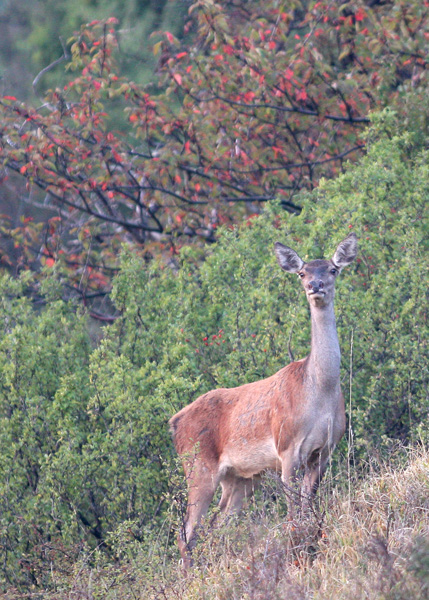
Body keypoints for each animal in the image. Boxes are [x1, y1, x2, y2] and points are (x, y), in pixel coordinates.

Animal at [169, 233, 356, 568]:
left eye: (333, 269)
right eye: (302, 273)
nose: (316, 286)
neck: (319, 394)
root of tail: (174, 424)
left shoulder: (325, 450)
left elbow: (309, 504)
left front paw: (311, 542)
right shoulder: (287, 447)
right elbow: (293, 511)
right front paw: (297, 549)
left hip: (241, 478)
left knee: (217, 523)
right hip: (197, 465)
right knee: (186, 532)